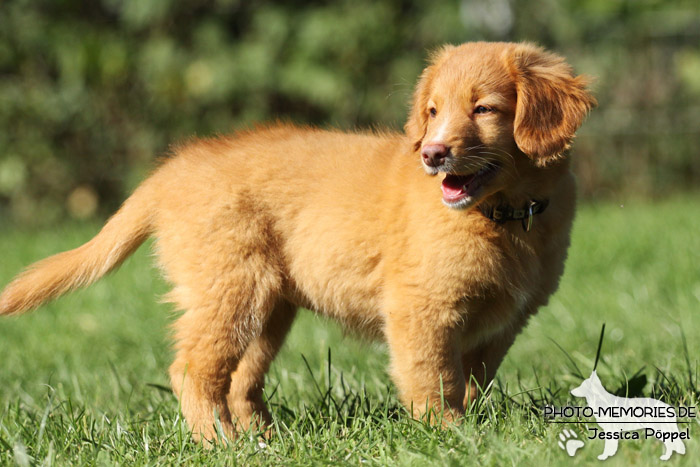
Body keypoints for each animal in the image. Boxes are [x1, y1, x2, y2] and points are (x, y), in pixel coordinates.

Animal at [0, 42, 596, 444]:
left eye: (484, 109)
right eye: (432, 111)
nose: (431, 154)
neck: (503, 217)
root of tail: (168, 173)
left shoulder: (500, 325)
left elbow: (473, 382)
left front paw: (475, 429)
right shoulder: (420, 311)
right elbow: (432, 380)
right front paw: (447, 436)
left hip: (269, 306)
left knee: (240, 380)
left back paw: (265, 440)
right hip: (230, 287)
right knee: (193, 369)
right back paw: (221, 444)